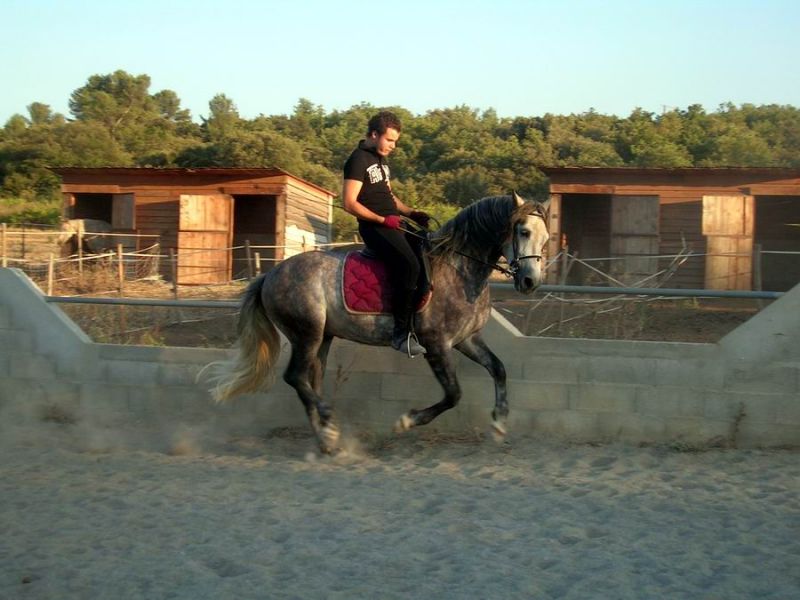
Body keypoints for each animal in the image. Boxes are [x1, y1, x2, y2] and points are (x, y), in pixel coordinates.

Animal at [206, 192, 550, 454]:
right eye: (523, 231)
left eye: (545, 238)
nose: (530, 282)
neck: (458, 267)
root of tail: (270, 275)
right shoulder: (436, 344)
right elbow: (453, 394)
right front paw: (406, 421)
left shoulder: (466, 340)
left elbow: (499, 369)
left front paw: (500, 424)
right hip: (306, 333)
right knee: (295, 377)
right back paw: (330, 425)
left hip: (322, 338)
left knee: (310, 382)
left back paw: (327, 438)